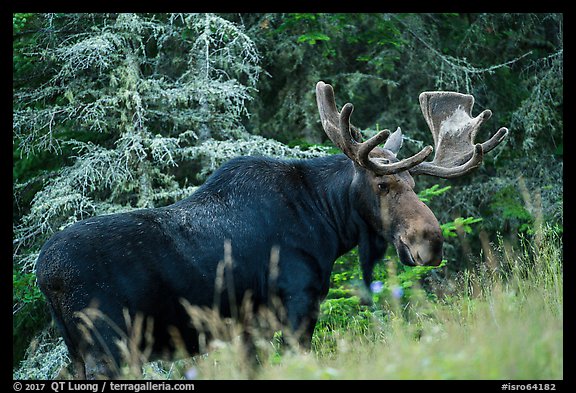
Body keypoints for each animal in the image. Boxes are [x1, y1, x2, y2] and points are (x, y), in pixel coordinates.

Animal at [33, 81, 506, 378]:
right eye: (383, 184)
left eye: (414, 183)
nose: (431, 242)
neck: (327, 222)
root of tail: (43, 273)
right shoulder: (298, 302)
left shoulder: (246, 328)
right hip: (107, 345)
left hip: (77, 350)